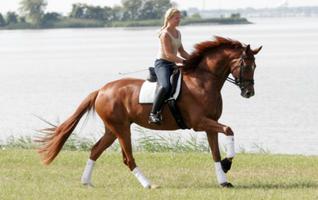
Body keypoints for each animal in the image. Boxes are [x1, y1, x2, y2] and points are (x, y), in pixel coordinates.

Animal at [37, 36, 262, 189]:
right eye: (246, 65)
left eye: (255, 66)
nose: (249, 93)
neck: (203, 81)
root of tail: (101, 90)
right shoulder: (200, 123)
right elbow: (229, 130)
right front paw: (227, 164)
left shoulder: (210, 124)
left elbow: (216, 152)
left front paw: (224, 177)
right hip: (121, 129)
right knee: (128, 158)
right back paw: (148, 184)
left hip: (112, 129)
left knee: (95, 150)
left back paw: (86, 182)